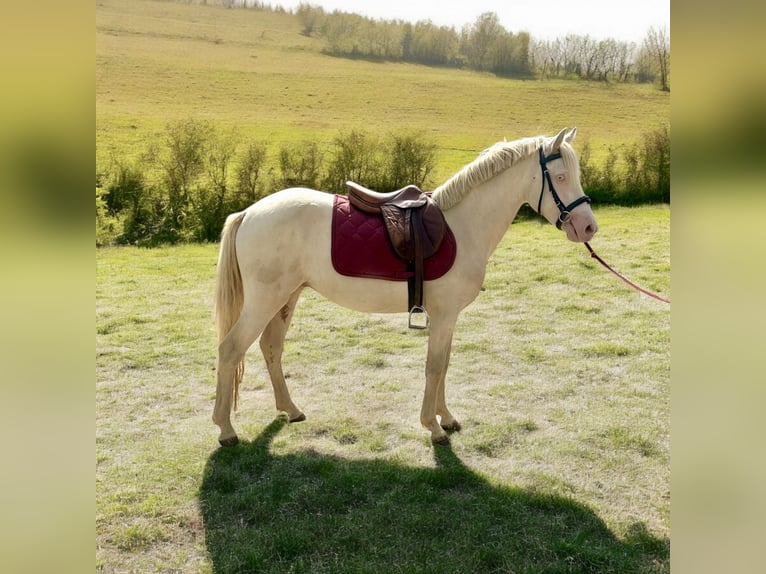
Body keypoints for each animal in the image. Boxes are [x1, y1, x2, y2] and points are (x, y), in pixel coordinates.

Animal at [214, 128, 600, 448]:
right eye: (560, 177)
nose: (588, 227)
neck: (463, 225)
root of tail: (248, 213)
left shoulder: (449, 318)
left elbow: (444, 364)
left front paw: (447, 417)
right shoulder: (442, 316)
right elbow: (434, 366)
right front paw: (433, 427)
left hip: (286, 298)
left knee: (271, 347)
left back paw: (290, 409)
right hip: (265, 301)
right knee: (230, 349)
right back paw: (226, 429)